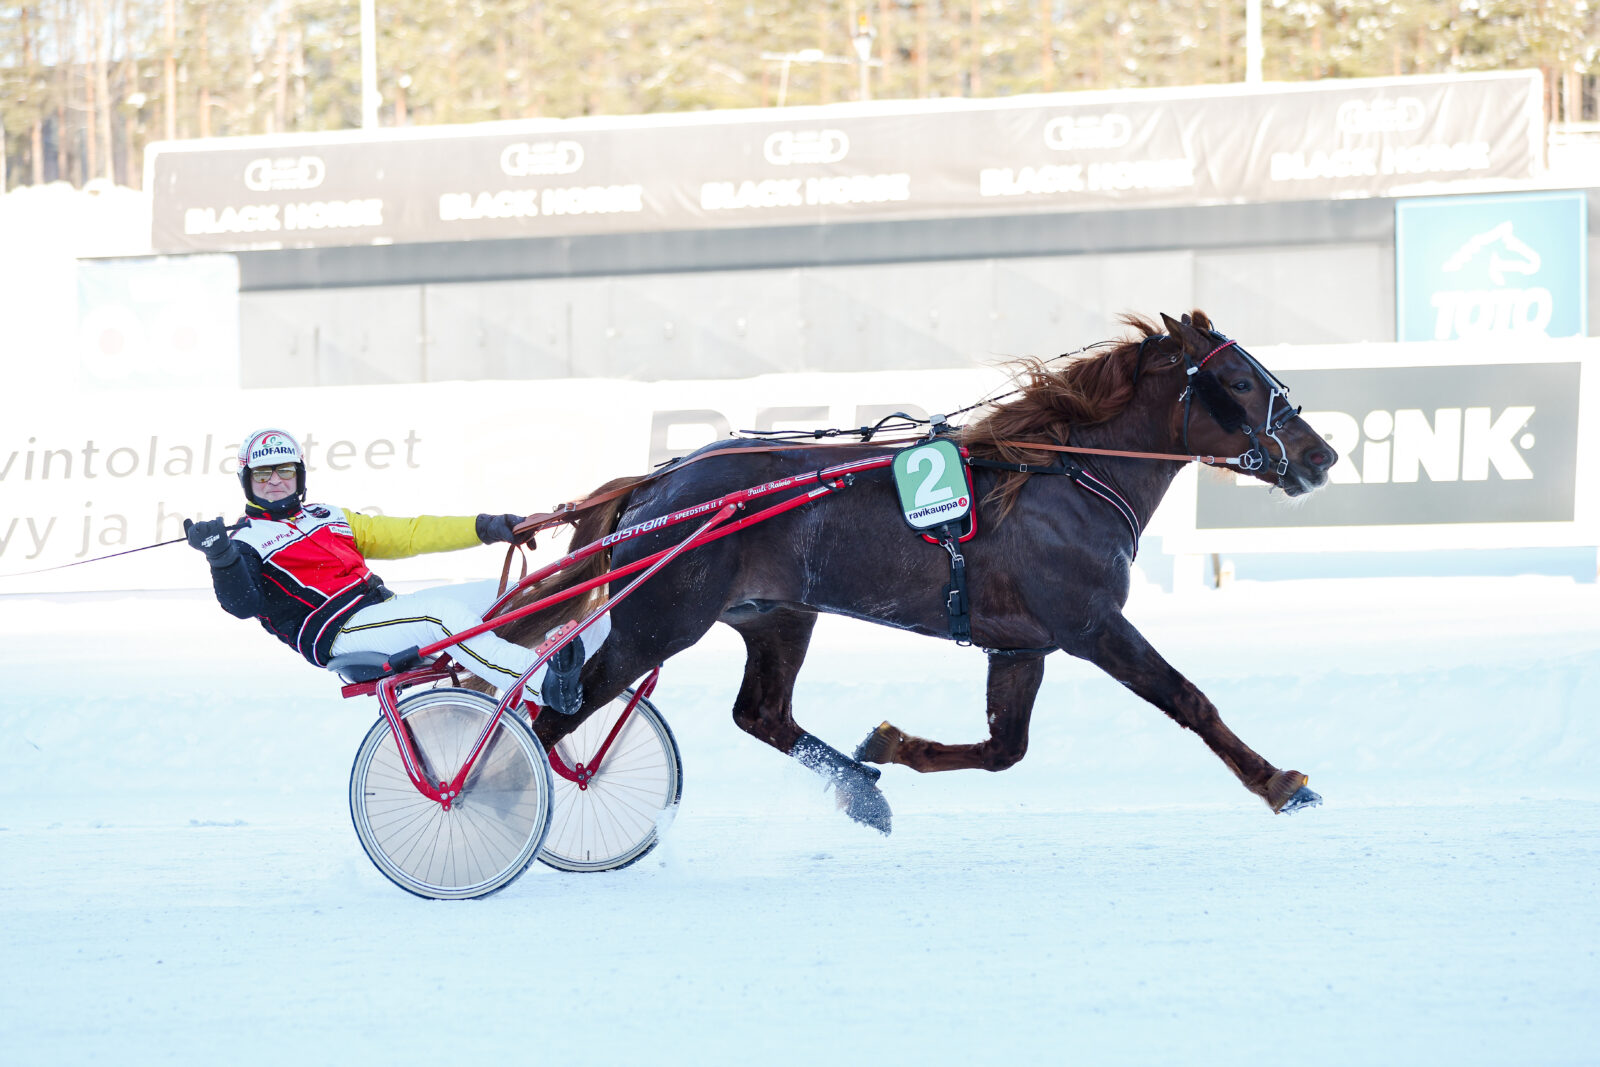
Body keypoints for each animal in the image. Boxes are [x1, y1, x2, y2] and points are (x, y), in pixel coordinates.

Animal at [499, 313, 1337, 831]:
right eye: (1240, 382)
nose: (1322, 453)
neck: (1068, 473)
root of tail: (655, 483)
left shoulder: (1019, 642)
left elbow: (1004, 748)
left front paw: (889, 744)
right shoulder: (1092, 623)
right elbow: (1188, 699)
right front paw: (1280, 782)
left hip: (778, 614)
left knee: (761, 713)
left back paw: (860, 791)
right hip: (659, 622)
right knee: (550, 719)